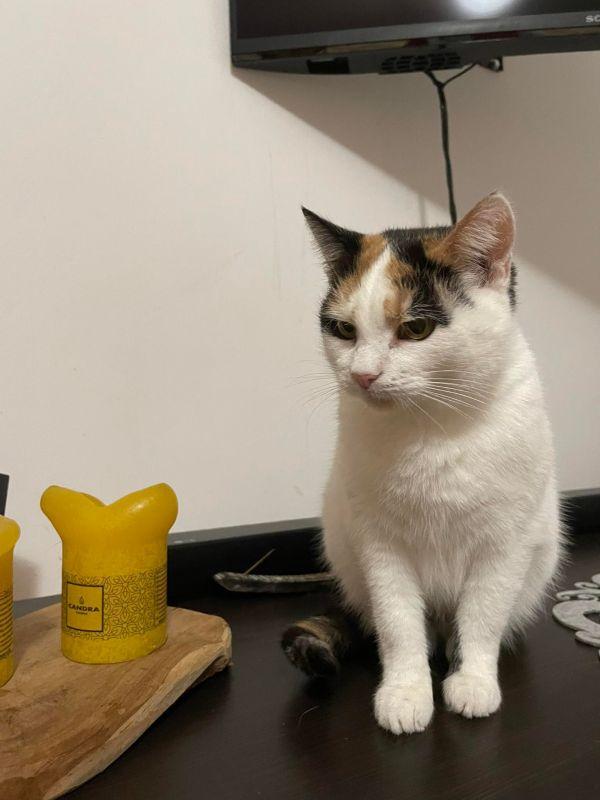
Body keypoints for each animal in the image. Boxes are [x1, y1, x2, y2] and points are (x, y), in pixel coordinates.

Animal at [282, 193, 562, 735]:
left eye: (416, 328)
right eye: (344, 330)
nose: (363, 376)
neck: (430, 430)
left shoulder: (507, 543)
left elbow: (483, 614)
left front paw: (473, 681)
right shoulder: (378, 544)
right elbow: (398, 623)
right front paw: (406, 691)